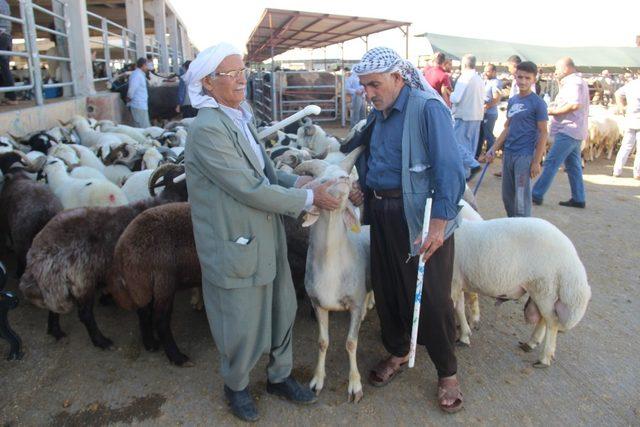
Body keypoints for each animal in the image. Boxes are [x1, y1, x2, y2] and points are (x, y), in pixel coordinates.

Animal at [292, 146, 368, 402]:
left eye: (346, 176)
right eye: (323, 180)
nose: (345, 180)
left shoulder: (355, 303)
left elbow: (351, 343)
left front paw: (355, 385)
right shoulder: (318, 304)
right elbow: (323, 342)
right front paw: (317, 380)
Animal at [450, 203, 592, 368]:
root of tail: (571, 255)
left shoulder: (453, 282)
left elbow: (456, 307)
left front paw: (462, 334)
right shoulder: (457, 282)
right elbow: (459, 309)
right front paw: (464, 336)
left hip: (545, 286)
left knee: (552, 321)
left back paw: (543, 358)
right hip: (542, 290)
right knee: (545, 318)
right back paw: (531, 343)